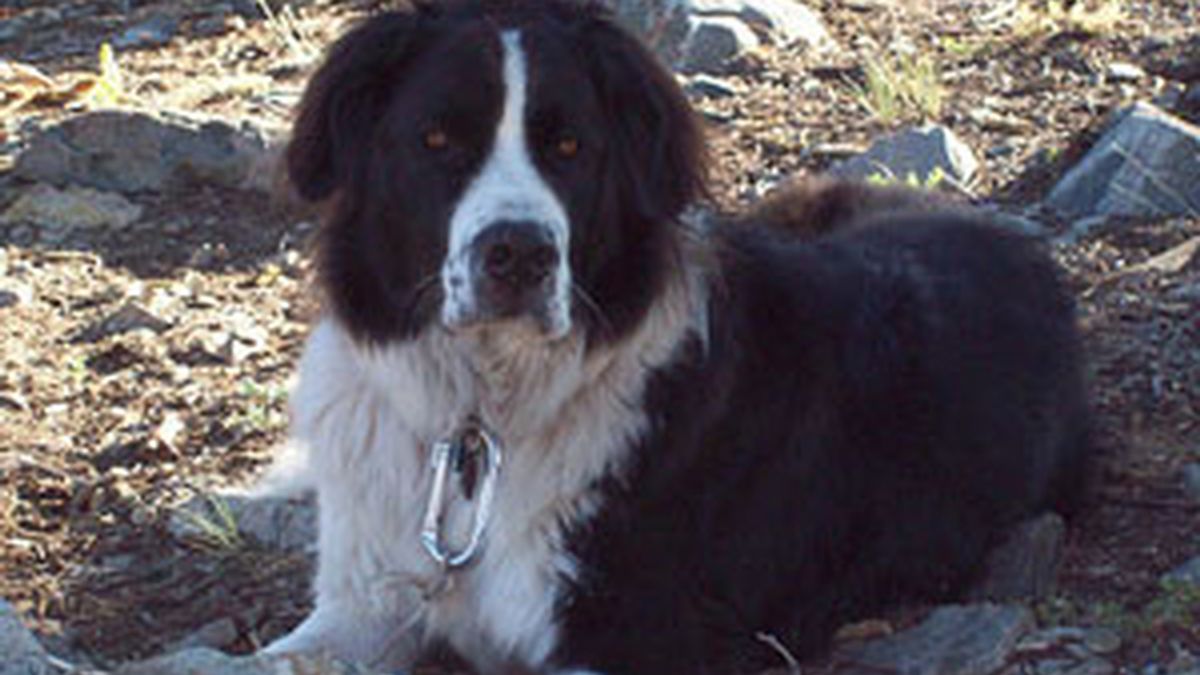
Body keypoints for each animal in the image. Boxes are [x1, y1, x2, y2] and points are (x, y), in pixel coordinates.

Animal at [265, 2, 1099, 667]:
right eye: (436, 140)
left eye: (570, 148)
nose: (520, 253)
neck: (482, 419)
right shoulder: (365, 597)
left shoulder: (642, 632)